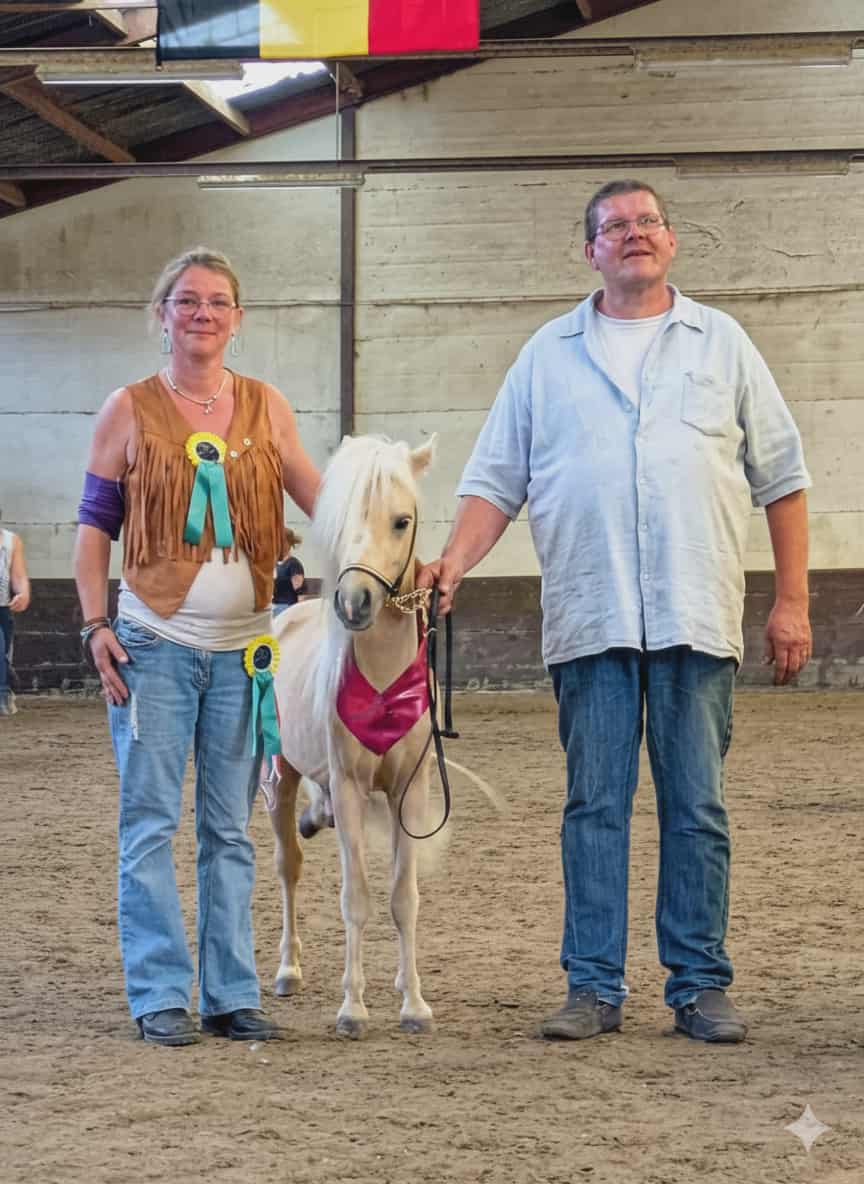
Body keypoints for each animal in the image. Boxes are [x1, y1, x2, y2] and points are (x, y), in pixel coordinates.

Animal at [268, 433, 439, 1039]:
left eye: (402, 520)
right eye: (341, 521)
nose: (355, 602)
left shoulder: (410, 791)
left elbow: (404, 897)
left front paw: (413, 1003)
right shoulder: (347, 785)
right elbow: (357, 898)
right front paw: (353, 1007)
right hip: (280, 777)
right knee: (289, 866)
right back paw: (288, 969)